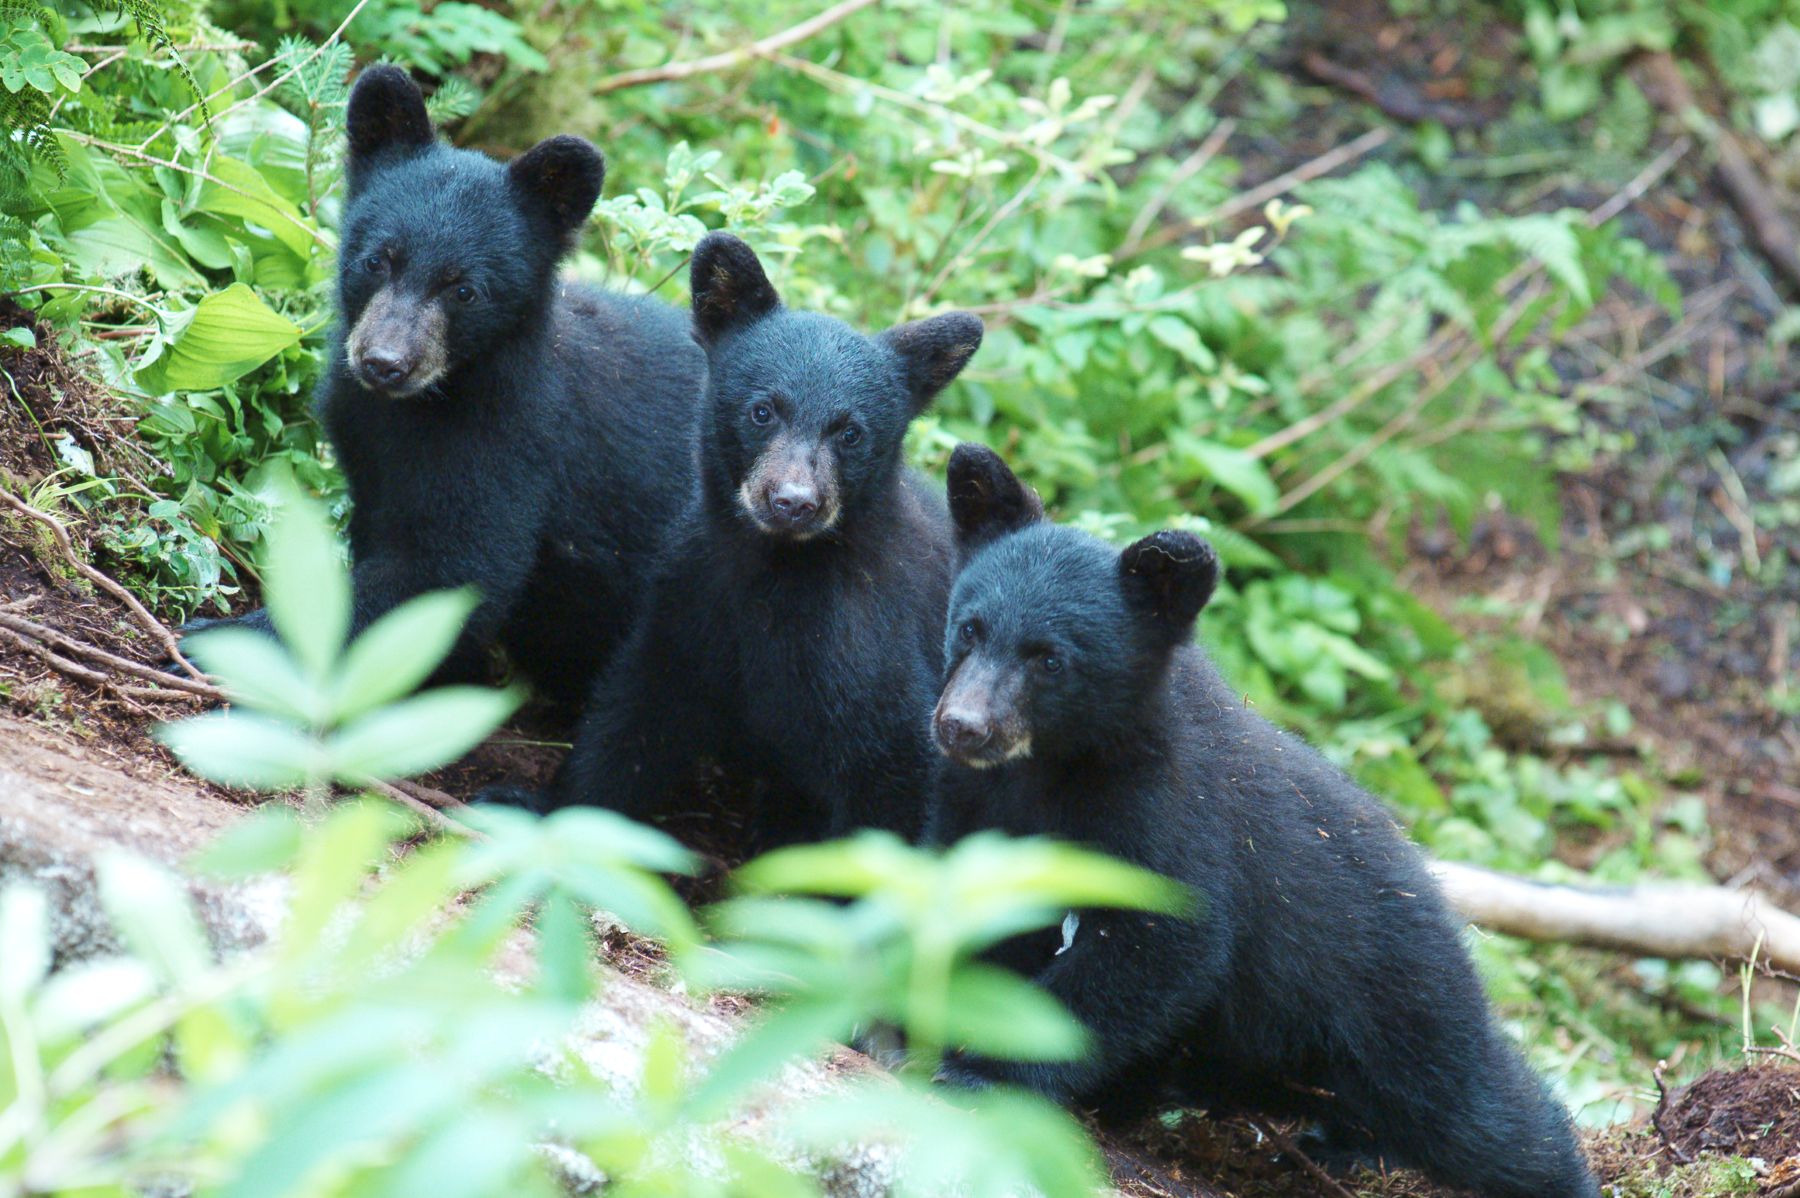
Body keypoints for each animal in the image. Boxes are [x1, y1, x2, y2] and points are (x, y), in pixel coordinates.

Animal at [175, 65, 705, 704]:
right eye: (379, 259)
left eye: (464, 289)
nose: (384, 362)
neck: (423, 404)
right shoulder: (367, 445)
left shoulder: (509, 442)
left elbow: (450, 572)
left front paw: (216, 638)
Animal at [504, 232, 981, 843]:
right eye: (763, 410)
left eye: (850, 432)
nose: (793, 502)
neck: (771, 572)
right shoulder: (691, 602)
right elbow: (631, 721)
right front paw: (540, 810)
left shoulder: (869, 639)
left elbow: (894, 774)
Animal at [924, 442, 1600, 1198]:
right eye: (970, 627)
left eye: (1048, 657)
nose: (963, 726)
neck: (1051, 767)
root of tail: (1435, 895)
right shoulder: (976, 801)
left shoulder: (1165, 813)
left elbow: (1160, 943)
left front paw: (977, 1069)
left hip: (1397, 996)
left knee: (1478, 1112)